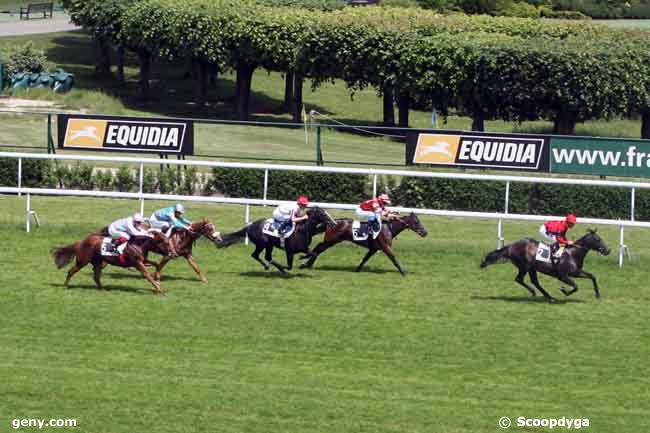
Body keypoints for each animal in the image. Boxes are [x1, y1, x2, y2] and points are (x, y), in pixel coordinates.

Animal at [298, 211, 426, 276]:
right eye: (416, 222)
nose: (425, 232)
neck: (388, 228)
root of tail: (332, 222)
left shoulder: (374, 248)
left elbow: (365, 259)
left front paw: (358, 269)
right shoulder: (386, 247)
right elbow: (394, 258)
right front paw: (403, 273)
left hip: (333, 240)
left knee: (319, 248)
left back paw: (307, 263)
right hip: (331, 240)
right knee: (319, 247)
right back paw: (305, 263)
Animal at [478, 230, 612, 300]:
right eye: (598, 239)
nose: (608, 250)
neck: (572, 253)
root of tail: (511, 246)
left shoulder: (576, 272)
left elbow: (592, 276)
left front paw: (598, 294)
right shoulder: (563, 276)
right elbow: (575, 286)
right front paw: (564, 290)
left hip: (532, 268)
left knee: (534, 282)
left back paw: (548, 296)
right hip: (524, 266)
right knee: (519, 279)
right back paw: (535, 293)